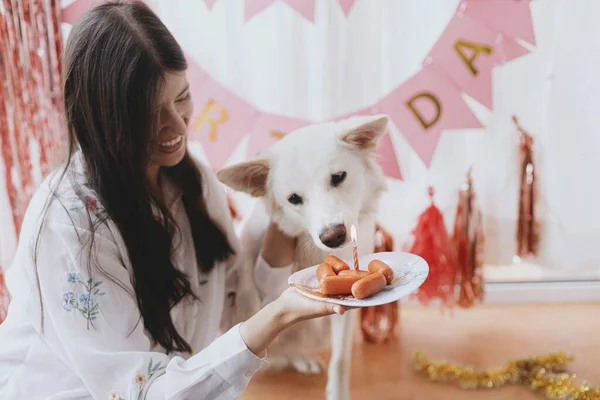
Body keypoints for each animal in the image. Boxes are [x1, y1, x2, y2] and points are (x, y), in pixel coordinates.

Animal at [218, 114, 386, 398]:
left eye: (338, 177)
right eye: (294, 198)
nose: (333, 236)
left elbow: (341, 359)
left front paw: (338, 392)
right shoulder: (251, 264)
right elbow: (250, 296)